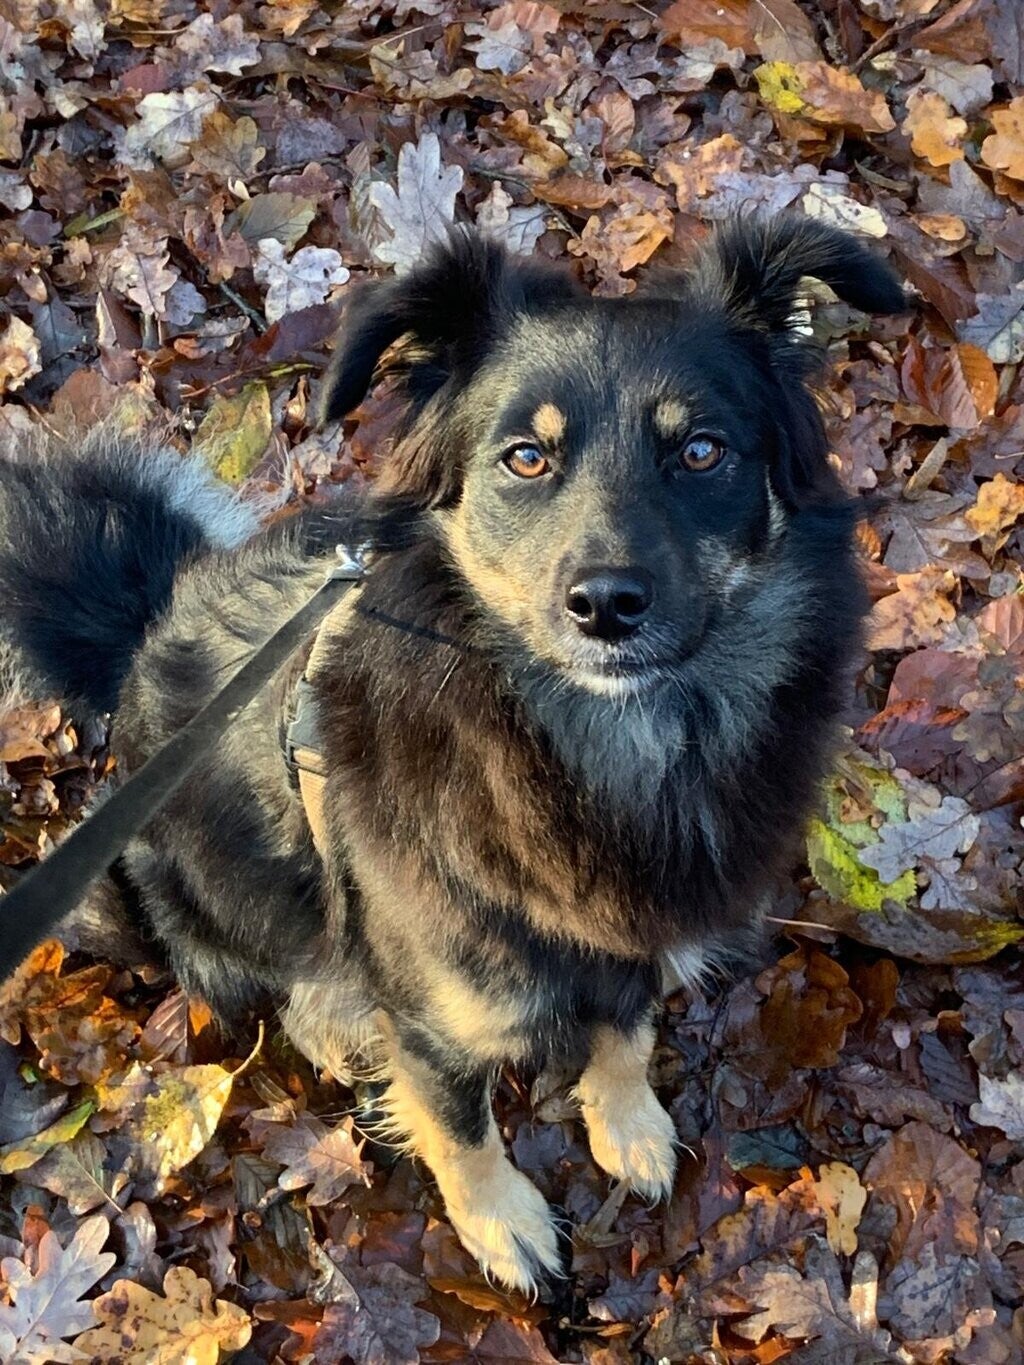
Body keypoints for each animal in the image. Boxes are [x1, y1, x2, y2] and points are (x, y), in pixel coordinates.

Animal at [0, 216, 904, 1292]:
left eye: (700, 451)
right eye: (525, 457)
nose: (605, 606)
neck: (608, 748)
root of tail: (140, 639)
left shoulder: (629, 937)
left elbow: (627, 1031)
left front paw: (627, 1121)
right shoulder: (437, 1016)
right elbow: (459, 1126)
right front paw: (501, 1222)